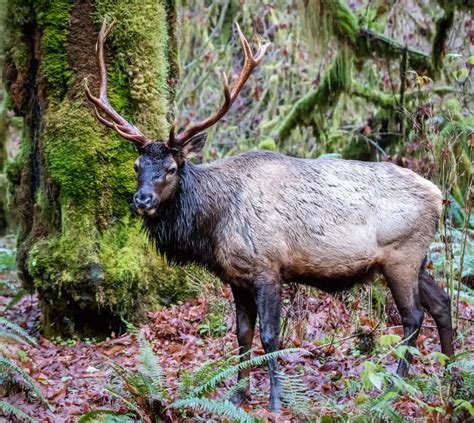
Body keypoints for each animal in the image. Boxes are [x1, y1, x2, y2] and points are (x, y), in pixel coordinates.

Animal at [87, 20, 454, 414]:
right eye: (136, 165)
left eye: (170, 168)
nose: (142, 199)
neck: (214, 224)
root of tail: (439, 197)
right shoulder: (236, 277)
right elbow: (242, 334)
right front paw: (237, 394)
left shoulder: (268, 268)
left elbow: (269, 335)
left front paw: (276, 401)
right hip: (418, 258)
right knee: (442, 303)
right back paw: (452, 373)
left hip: (401, 254)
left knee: (413, 316)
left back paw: (396, 386)